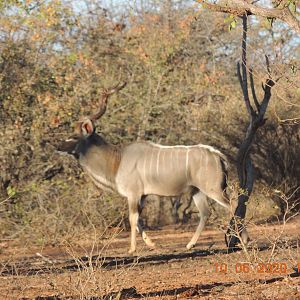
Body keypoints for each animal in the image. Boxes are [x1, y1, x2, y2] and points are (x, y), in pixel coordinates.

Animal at [58, 82, 248, 253]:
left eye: (74, 136)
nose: (58, 147)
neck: (117, 159)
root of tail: (217, 155)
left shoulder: (133, 194)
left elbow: (132, 218)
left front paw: (132, 249)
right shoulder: (142, 195)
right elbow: (138, 220)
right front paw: (151, 244)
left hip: (213, 189)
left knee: (232, 205)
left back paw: (243, 240)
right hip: (197, 191)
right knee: (205, 213)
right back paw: (190, 245)